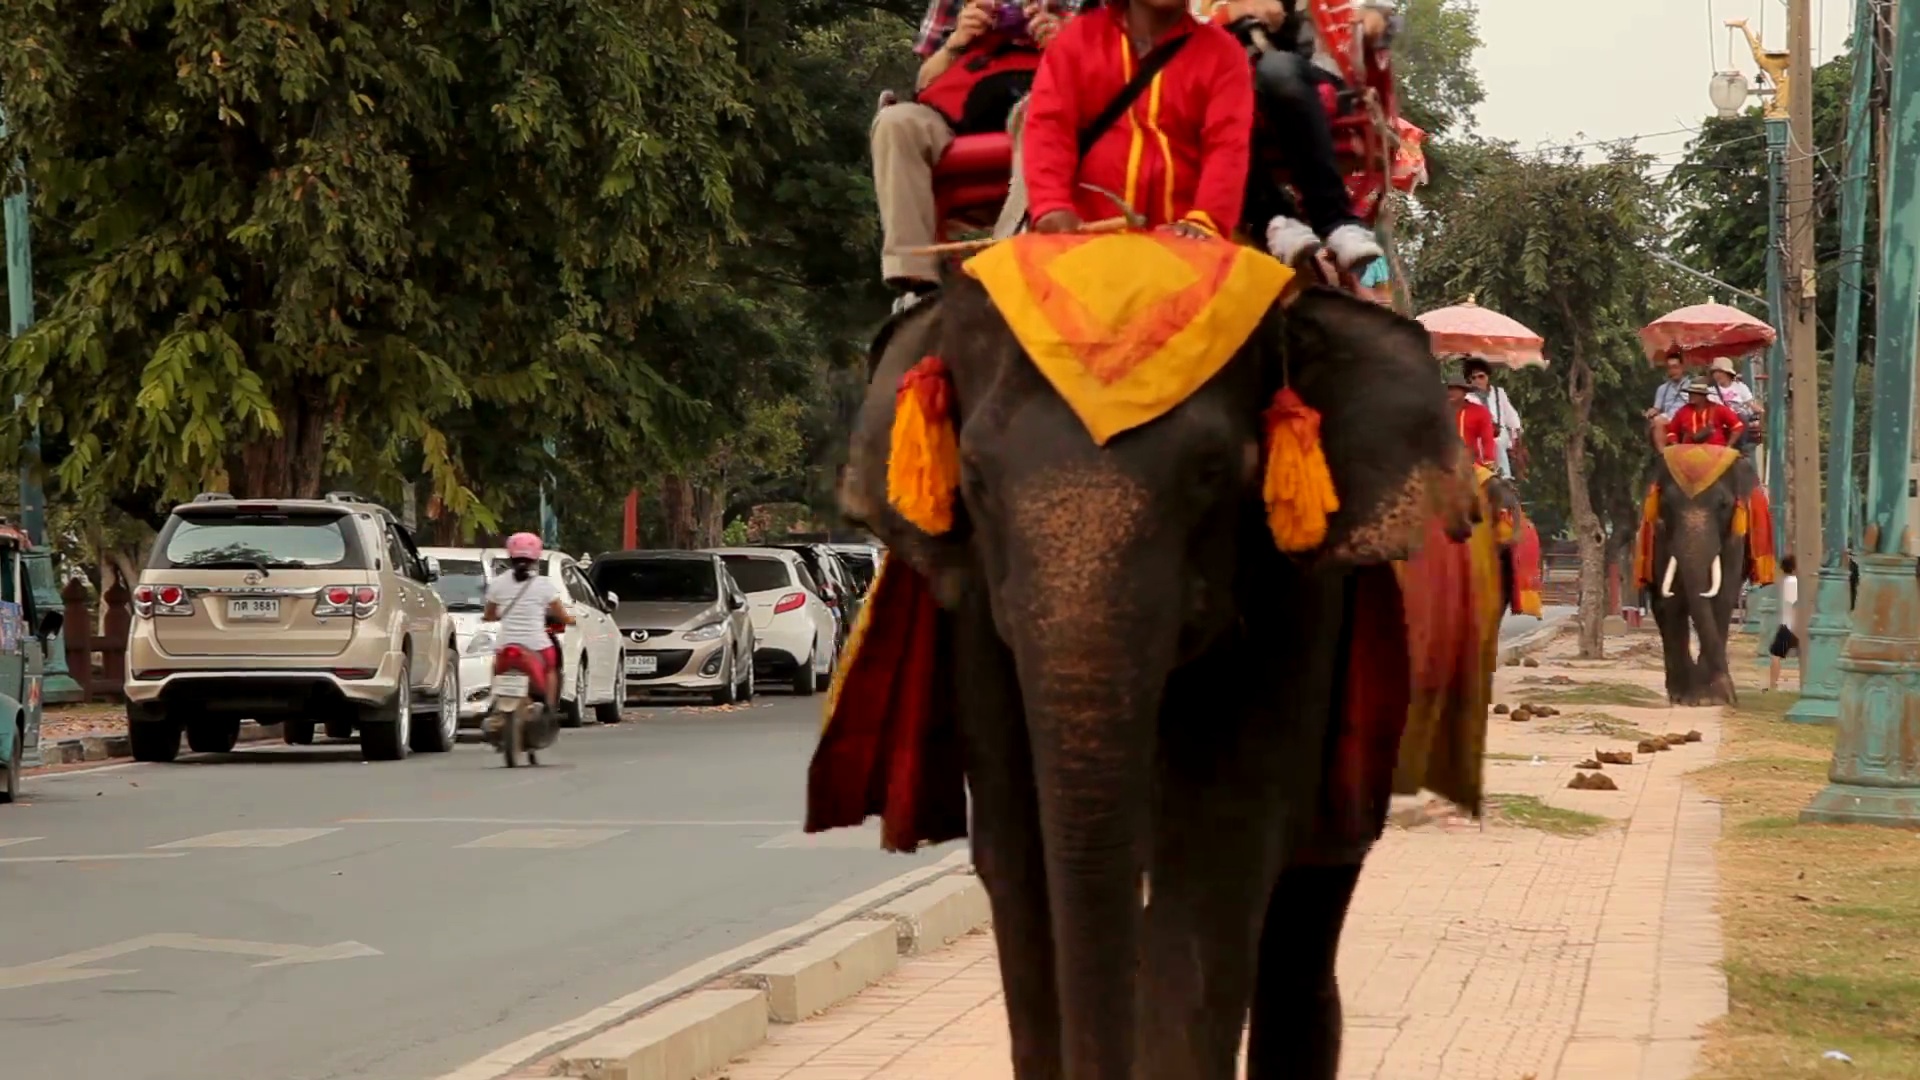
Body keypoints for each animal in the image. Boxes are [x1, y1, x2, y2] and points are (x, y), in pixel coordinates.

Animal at [833, 270, 1474, 1076]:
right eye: (973, 477)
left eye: (1213, 473)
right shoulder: (976, 619)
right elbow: (1018, 859)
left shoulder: (1292, 602)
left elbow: (1214, 861)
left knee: (1301, 944)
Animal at [1635, 441, 1758, 703]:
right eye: (1667, 505)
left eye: (1723, 505)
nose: (1733, 696)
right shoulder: (1661, 536)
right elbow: (1672, 598)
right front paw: (1690, 697)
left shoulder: (1735, 538)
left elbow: (1723, 595)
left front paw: (1711, 698)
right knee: (1664, 606)